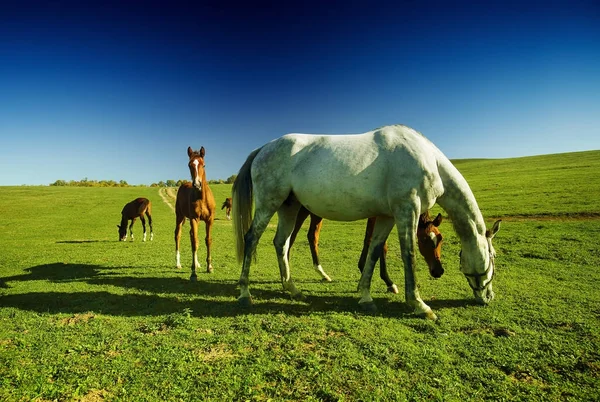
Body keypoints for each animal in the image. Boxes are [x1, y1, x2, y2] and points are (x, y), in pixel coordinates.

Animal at [173, 146, 216, 282]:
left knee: (192, 235)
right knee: (178, 235)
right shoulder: (194, 219)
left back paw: (197, 263)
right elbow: (194, 242)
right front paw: (193, 273)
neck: (201, 198)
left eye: (204, 165)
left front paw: (210, 267)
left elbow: (207, 240)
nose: (197, 184)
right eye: (189, 165)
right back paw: (178, 264)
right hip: (180, 217)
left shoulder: (209, 220)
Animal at [288, 207, 442, 292]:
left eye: (440, 238)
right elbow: (381, 244)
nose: (438, 271)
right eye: (424, 240)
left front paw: (362, 270)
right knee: (292, 236)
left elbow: (368, 239)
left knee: (310, 236)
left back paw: (322, 274)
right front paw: (389, 282)